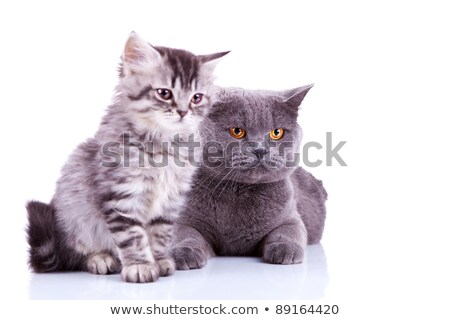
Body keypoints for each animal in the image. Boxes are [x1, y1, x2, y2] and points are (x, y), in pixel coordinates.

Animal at [25, 32, 229, 282]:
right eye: (164, 93)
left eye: (196, 98)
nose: (183, 112)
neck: (164, 144)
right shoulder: (123, 195)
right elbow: (133, 236)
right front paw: (140, 266)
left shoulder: (170, 199)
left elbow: (160, 234)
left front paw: (160, 261)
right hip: (74, 218)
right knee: (76, 255)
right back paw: (101, 259)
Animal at [171, 85, 326, 268]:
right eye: (237, 131)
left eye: (277, 132)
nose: (259, 149)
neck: (239, 190)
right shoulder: (185, 219)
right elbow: (185, 234)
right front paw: (184, 253)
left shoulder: (291, 218)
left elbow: (288, 231)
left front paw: (286, 250)